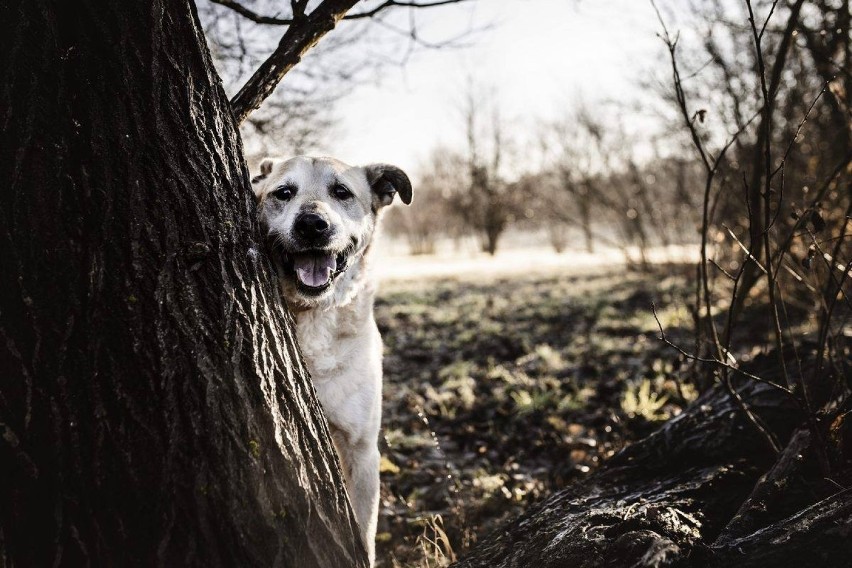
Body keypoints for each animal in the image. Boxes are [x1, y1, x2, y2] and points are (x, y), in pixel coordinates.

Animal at [253, 154, 412, 564]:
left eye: (341, 192)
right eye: (283, 193)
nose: (312, 224)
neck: (314, 315)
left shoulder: (361, 448)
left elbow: (365, 531)